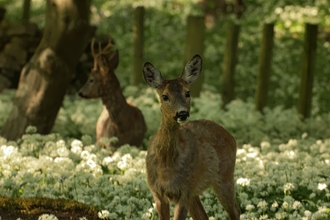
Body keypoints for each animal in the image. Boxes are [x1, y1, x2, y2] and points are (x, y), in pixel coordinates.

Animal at [142, 53, 240, 220]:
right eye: (164, 96)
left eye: (187, 93)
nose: (182, 113)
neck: (166, 165)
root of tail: (231, 136)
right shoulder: (157, 193)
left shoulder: (185, 191)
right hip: (196, 192)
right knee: (204, 216)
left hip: (224, 176)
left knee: (236, 210)